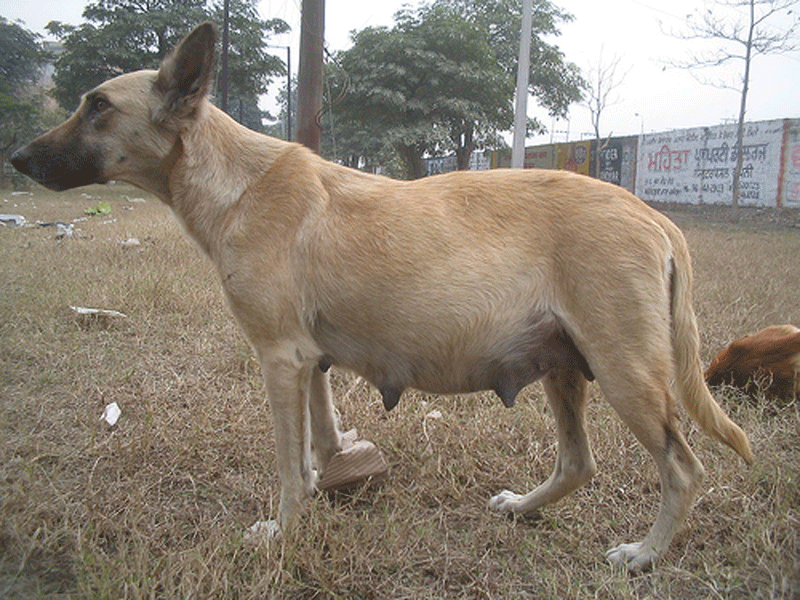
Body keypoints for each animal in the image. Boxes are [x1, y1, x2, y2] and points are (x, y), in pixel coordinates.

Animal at [9, 22, 752, 572]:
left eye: (98, 105)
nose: (16, 158)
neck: (235, 181)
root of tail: (655, 217)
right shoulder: (309, 360)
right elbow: (319, 439)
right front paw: (328, 479)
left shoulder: (279, 358)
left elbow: (288, 464)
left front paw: (284, 532)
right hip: (565, 367)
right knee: (579, 462)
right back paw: (524, 508)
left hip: (626, 374)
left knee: (684, 470)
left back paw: (645, 555)